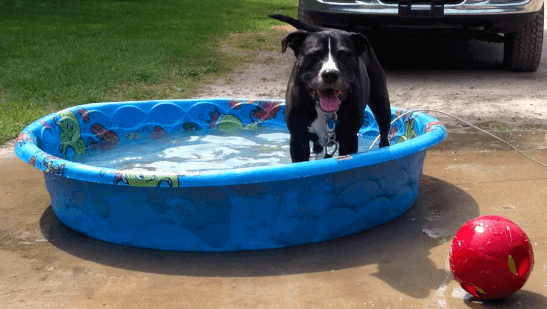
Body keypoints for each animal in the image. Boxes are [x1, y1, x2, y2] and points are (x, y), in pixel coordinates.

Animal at [268, 14, 390, 162]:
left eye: (344, 55)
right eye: (314, 55)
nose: (330, 74)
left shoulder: (349, 139)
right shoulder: (298, 139)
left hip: (381, 103)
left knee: (384, 134)